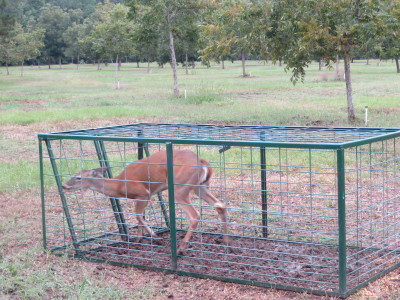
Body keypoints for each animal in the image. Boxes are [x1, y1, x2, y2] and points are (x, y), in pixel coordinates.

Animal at [60, 149, 228, 252]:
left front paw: (155, 237)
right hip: (201, 186)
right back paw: (226, 240)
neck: (119, 185)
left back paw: (181, 248)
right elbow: (140, 216)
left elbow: (138, 215)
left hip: (180, 188)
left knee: (195, 215)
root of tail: (204, 163)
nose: (63, 185)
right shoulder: (145, 196)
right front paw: (139, 238)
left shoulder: (143, 193)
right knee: (221, 205)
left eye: (78, 178)